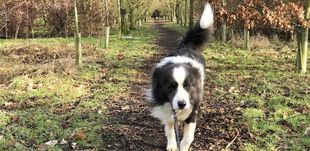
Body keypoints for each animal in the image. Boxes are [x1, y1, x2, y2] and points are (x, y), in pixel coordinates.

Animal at [147, 2, 214, 151]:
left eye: (187, 86)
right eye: (171, 86)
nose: (182, 104)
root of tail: (187, 45)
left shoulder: (193, 110)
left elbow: (188, 137)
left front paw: (182, 146)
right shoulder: (168, 111)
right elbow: (171, 129)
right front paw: (172, 145)